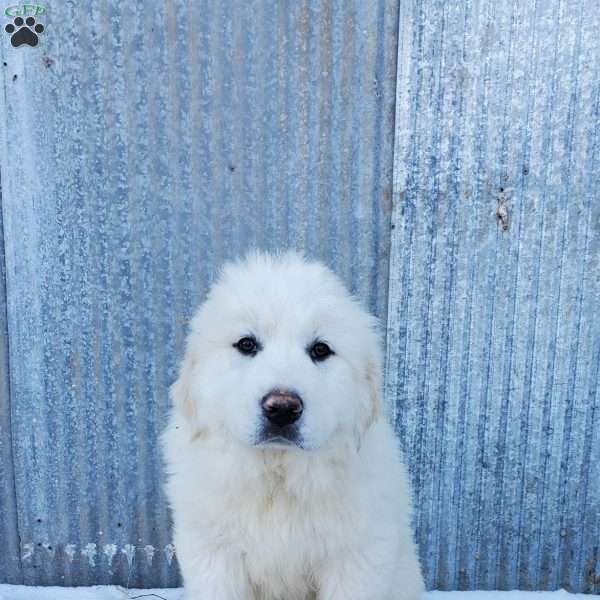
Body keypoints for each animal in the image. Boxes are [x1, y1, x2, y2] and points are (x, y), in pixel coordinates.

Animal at [162, 253, 424, 600]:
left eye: (321, 350)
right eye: (246, 344)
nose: (283, 409)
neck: (278, 476)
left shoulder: (356, 557)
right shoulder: (215, 555)